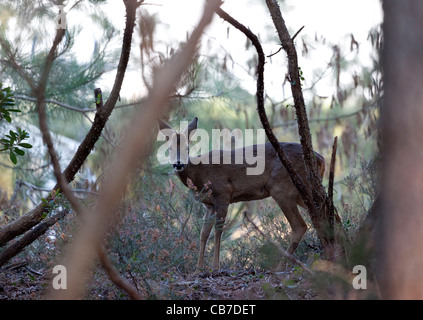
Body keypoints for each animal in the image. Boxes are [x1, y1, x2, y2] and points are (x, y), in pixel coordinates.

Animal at [157, 117, 326, 270]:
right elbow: (204, 234)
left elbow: (218, 231)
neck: (200, 174)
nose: (178, 164)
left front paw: (215, 267)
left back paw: (280, 267)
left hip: (282, 188)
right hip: (301, 193)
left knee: (300, 226)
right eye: (169, 149)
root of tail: (321, 158)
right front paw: (198, 269)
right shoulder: (209, 204)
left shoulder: (223, 194)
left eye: (187, 148)